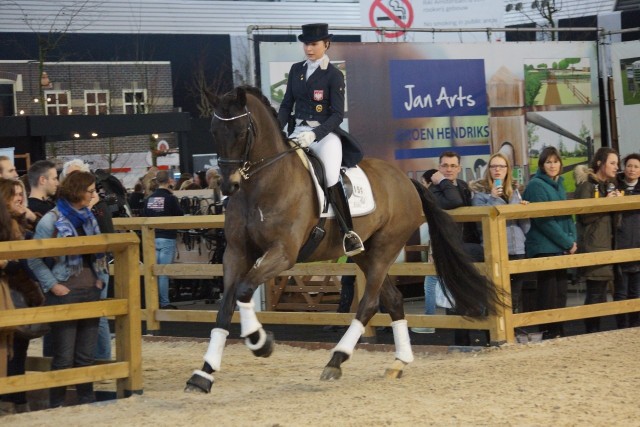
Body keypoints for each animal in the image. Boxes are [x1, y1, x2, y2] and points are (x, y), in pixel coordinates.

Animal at [185, 87, 500, 394]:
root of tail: (406, 181)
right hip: (365, 253)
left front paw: (259, 342)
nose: (229, 185)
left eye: (241, 132)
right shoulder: (236, 253)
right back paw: (399, 361)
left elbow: (244, 290)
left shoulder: (283, 253)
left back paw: (336, 360)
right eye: (213, 131)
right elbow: (225, 307)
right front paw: (204, 374)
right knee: (393, 299)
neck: (263, 184)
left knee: (369, 303)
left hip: (385, 248)